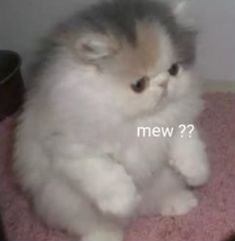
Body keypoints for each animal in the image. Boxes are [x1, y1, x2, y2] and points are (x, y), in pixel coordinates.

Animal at [13, 0, 210, 241]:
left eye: (174, 69)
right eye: (139, 85)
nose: (164, 83)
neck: (139, 120)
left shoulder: (178, 124)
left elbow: (188, 146)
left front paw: (196, 173)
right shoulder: (72, 149)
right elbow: (106, 173)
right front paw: (124, 201)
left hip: (164, 182)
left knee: (158, 200)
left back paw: (178, 202)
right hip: (67, 204)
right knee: (90, 223)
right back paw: (107, 233)